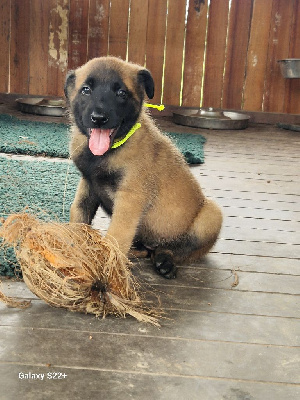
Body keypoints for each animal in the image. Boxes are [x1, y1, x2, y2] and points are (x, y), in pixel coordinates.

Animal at [63, 56, 223, 278]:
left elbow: (116, 236)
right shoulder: (88, 185)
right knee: (146, 250)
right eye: (86, 90)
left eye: (121, 93)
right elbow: (78, 215)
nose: (99, 118)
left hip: (210, 216)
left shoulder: (129, 199)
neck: (107, 153)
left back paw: (165, 261)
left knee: (176, 250)